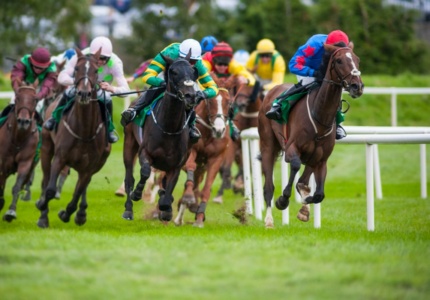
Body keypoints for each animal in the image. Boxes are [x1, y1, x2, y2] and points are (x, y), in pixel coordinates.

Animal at [0, 79, 39, 220]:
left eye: (35, 99)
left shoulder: (26, 162)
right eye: (17, 98)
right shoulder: (3, 162)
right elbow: (1, 183)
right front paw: (1, 202)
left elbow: (17, 185)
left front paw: (11, 211)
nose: (23, 121)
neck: (19, 138)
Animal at [35, 48, 111, 229]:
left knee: (83, 186)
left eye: (96, 71)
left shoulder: (89, 166)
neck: (83, 130)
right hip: (46, 148)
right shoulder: (60, 157)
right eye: (76, 69)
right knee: (45, 180)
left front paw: (67, 214)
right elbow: (50, 189)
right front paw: (43, 211)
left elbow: (77, 194)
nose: (84, 93)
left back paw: (81, 213)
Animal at [124, 53, 198, 223]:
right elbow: (145, 171)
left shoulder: (177, 164)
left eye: (193, 72)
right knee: (129, 178)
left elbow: (167, 193)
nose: (190, 96)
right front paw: (137, 193)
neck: (169, 127)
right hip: (129, 144)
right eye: (173, 72)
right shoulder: (145, 152)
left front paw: (167, 209)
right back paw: (128, 210)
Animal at [174, 74, 235, 226]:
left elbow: (206, 189)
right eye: (210, 101)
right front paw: (188, 198)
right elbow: (190, 167)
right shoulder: (192, 151)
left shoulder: (216, 158)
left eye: (228, 102)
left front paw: (199, 217)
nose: (219, 130)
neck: (208, 133)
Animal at [256, 44, 364, 227]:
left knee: (303, 181)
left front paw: (305, 206)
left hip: (311, 157)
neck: (320, 117)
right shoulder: (291, 148)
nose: (357, 86)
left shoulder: (321, 159)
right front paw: (283, 200)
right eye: (339, 60)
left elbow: (317, 193)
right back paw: (269, 220)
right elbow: (295, 166)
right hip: (268, 145)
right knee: (268, 186)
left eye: (357, 59)